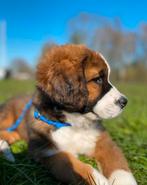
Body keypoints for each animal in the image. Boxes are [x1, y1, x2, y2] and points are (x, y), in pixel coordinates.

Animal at [0, 44, 138, 185]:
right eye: (98, 80)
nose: (124, 102)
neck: (74, 122)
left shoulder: (103, 141)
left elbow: (118, 165)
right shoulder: (49, 153)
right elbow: (82, 169)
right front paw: (100, 180)